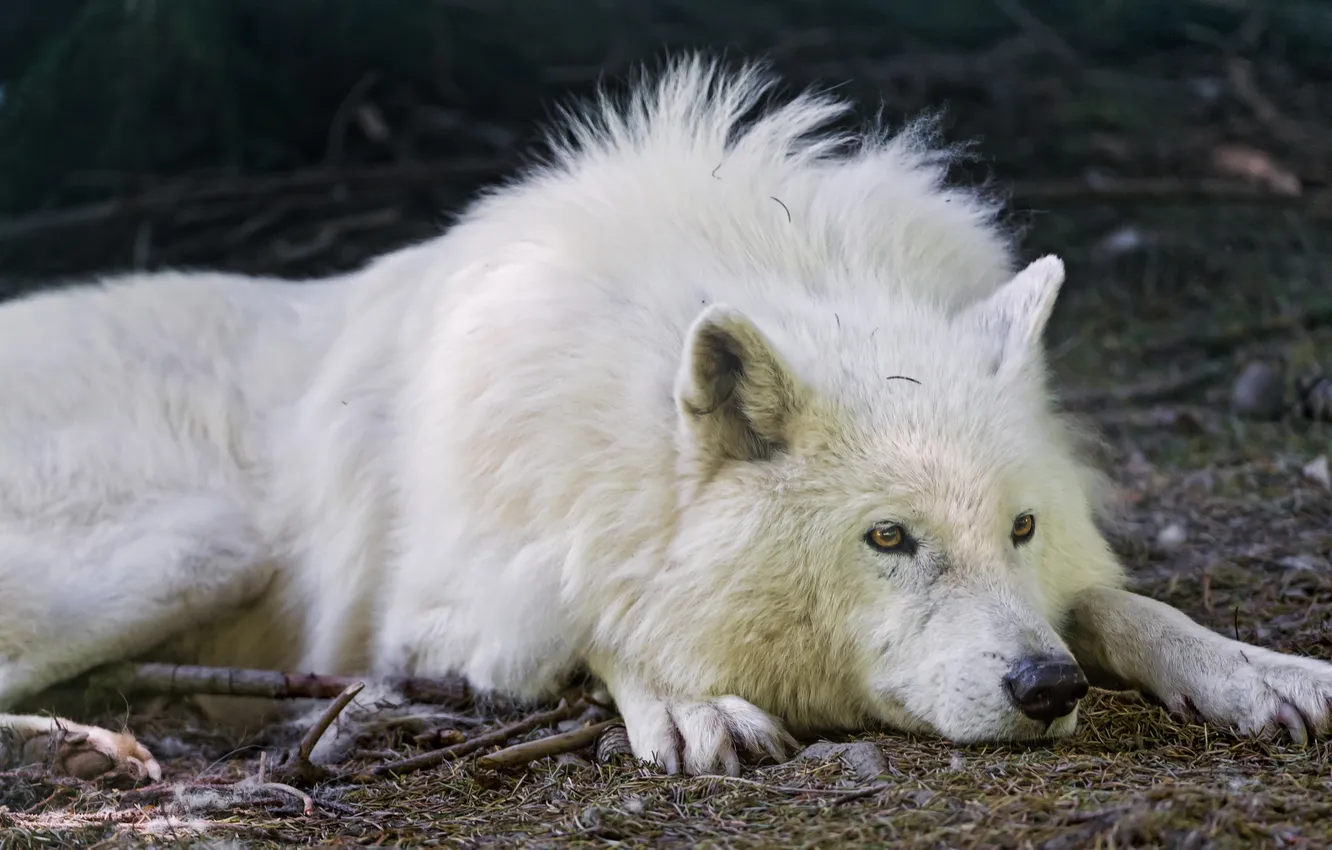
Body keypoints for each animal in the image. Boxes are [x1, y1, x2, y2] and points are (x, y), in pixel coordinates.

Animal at [3, 56, 1331, 782]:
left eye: (1020, 528)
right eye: (887, 538)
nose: (1046, 689)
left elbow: (1120, 604)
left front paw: (1253, 668)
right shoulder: (447, 603)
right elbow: (598, 612)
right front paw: (687, 698)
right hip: (192, 547)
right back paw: (94, 749)